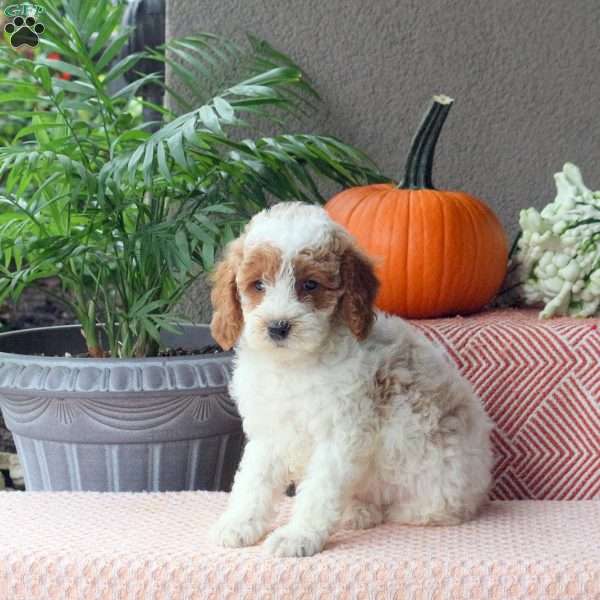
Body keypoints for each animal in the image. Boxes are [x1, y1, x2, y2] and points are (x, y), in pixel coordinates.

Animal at [209, 202, 490, 556]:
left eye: (310, 285)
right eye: (258, 285)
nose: (278, 327)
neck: (294, 365)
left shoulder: (339, 433)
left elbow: (319, 491)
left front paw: (298, 536)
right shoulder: (269, 432)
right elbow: (253, 481)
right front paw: (238, 524)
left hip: (437, 479)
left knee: (431, 509)